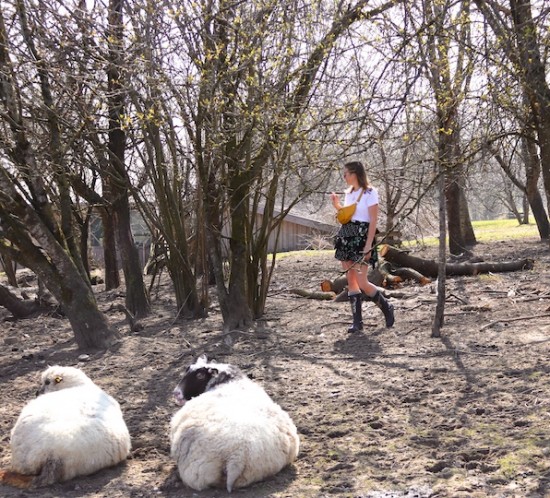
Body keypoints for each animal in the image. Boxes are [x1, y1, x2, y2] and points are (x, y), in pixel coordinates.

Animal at [172, 356, 302, 492]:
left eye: (200, 375)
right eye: (187, 369)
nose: (176, 393)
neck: (226, 380)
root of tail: (238, 457)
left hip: (198, 471)